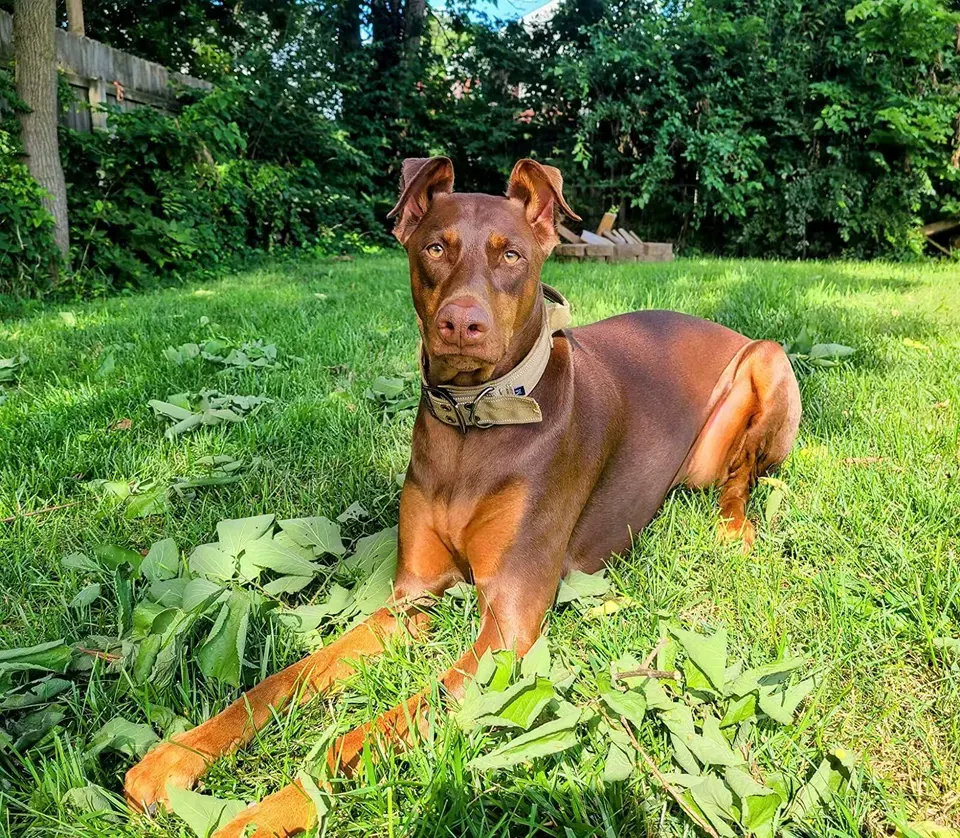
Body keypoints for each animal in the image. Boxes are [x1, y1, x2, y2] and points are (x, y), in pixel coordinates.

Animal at [127, 159, 804, 838]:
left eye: (511, 255)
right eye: (434, 248)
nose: (461, 323)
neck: (472, 425)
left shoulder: (508, 623)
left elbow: (363, 739)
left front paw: (262, 812)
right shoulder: (411, 598)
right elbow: (285, 680)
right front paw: (176, 756)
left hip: (765, 367)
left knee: (742, 476)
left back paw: (734, 528)